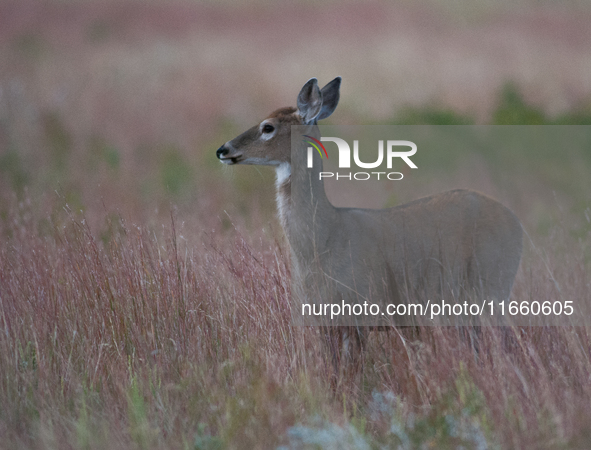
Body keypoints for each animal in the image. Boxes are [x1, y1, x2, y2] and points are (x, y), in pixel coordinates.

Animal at [217, 79, 524, 374]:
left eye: (268, 127)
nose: (223, 149)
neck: (324, 239)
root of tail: (517, 223)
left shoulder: (361, 307)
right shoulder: (322, 319)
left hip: (493, 284)